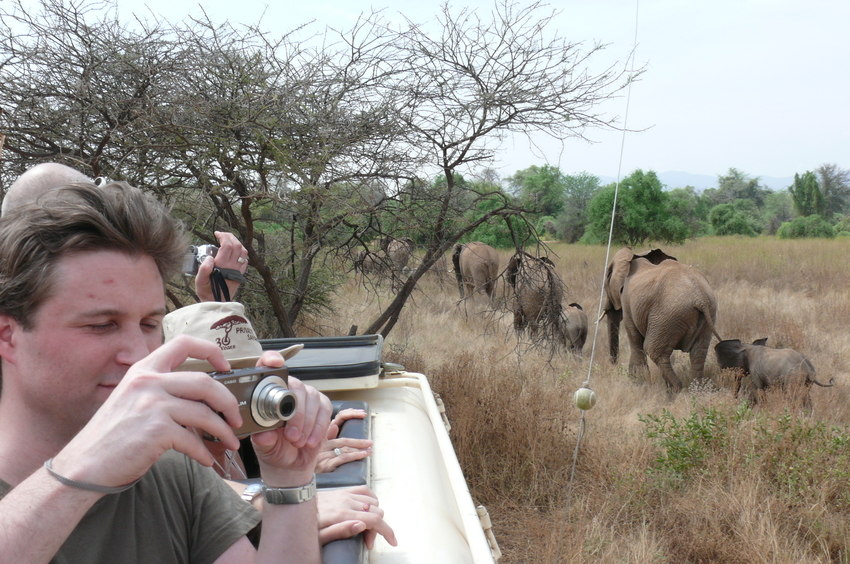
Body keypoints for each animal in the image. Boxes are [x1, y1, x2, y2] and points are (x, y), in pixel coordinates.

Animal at [600, 249, 720, 394]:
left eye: (607, 278)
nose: (613, 364)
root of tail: (700, 298)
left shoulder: (627, 301)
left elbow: (635, 340)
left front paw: (639, 383)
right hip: (707, 314)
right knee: (698, 353)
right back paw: (696, 390)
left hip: (667, 315)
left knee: (653, 350)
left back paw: (674, 390)